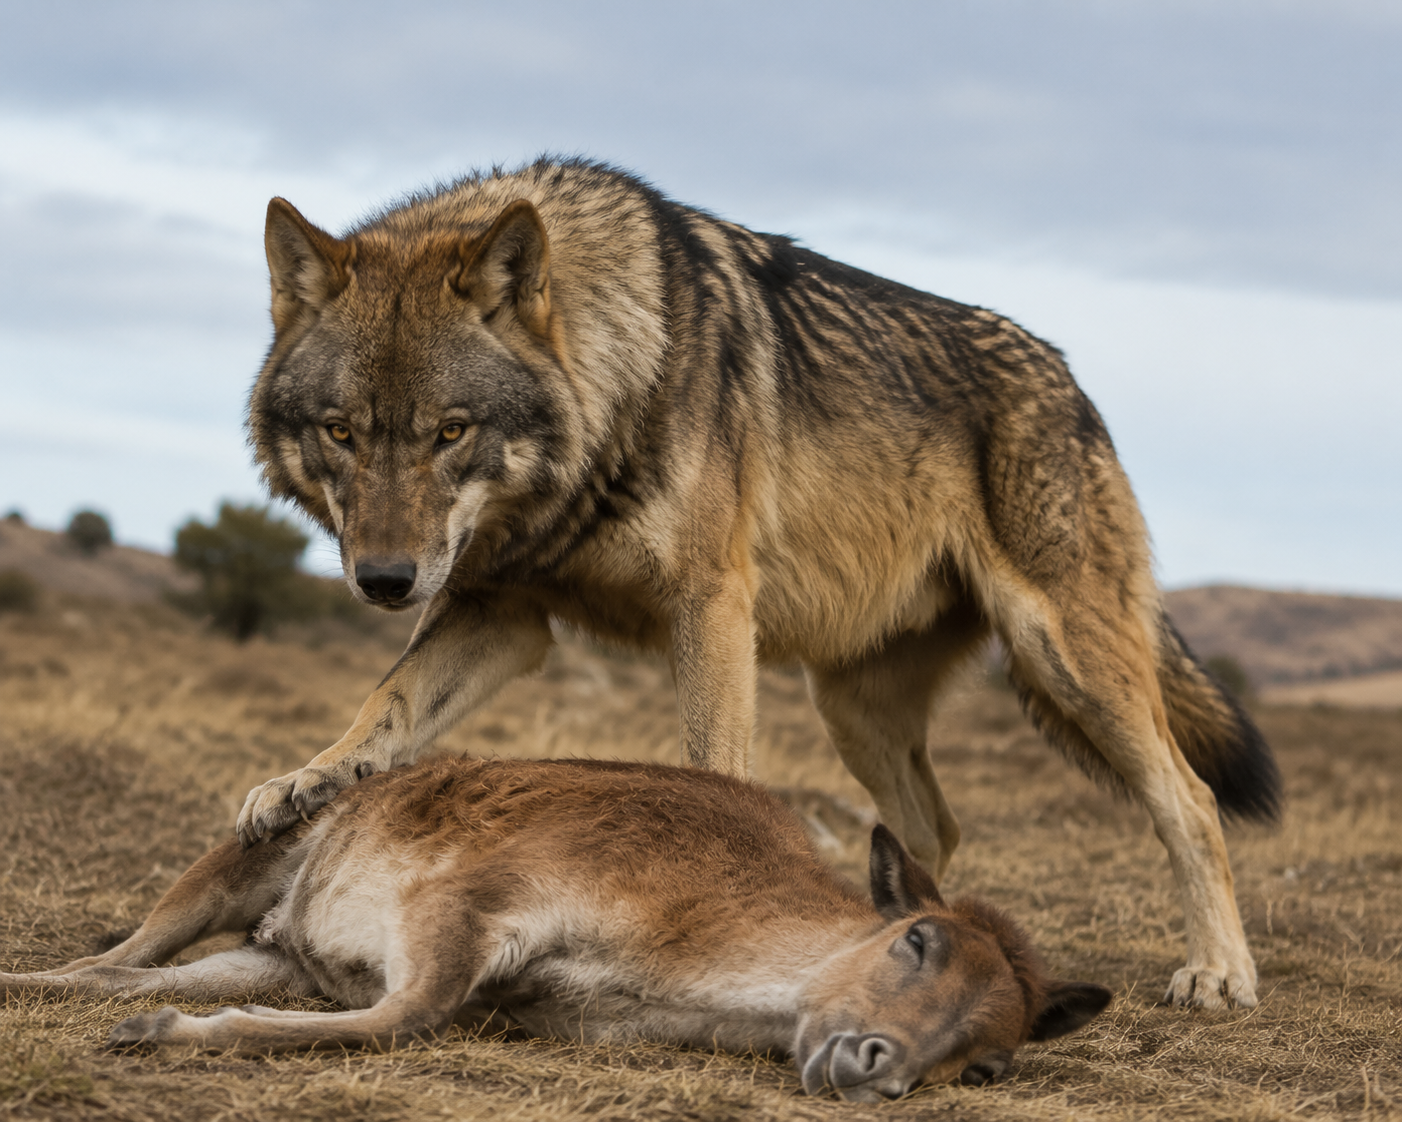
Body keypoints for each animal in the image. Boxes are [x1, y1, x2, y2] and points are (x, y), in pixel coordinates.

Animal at [236, 157, 1279, 1009]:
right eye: (341, 431)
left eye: (450, 431)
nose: (384, 580)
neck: (614, 390)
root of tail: (1072, 383)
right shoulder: (504, 609)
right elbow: (388, 702)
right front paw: (309, 778)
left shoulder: (710, 603)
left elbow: (713, 768)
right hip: (853, 709)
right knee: (932, 828)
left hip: (1066, 660)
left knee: (1189, 800)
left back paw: (1219, 973)